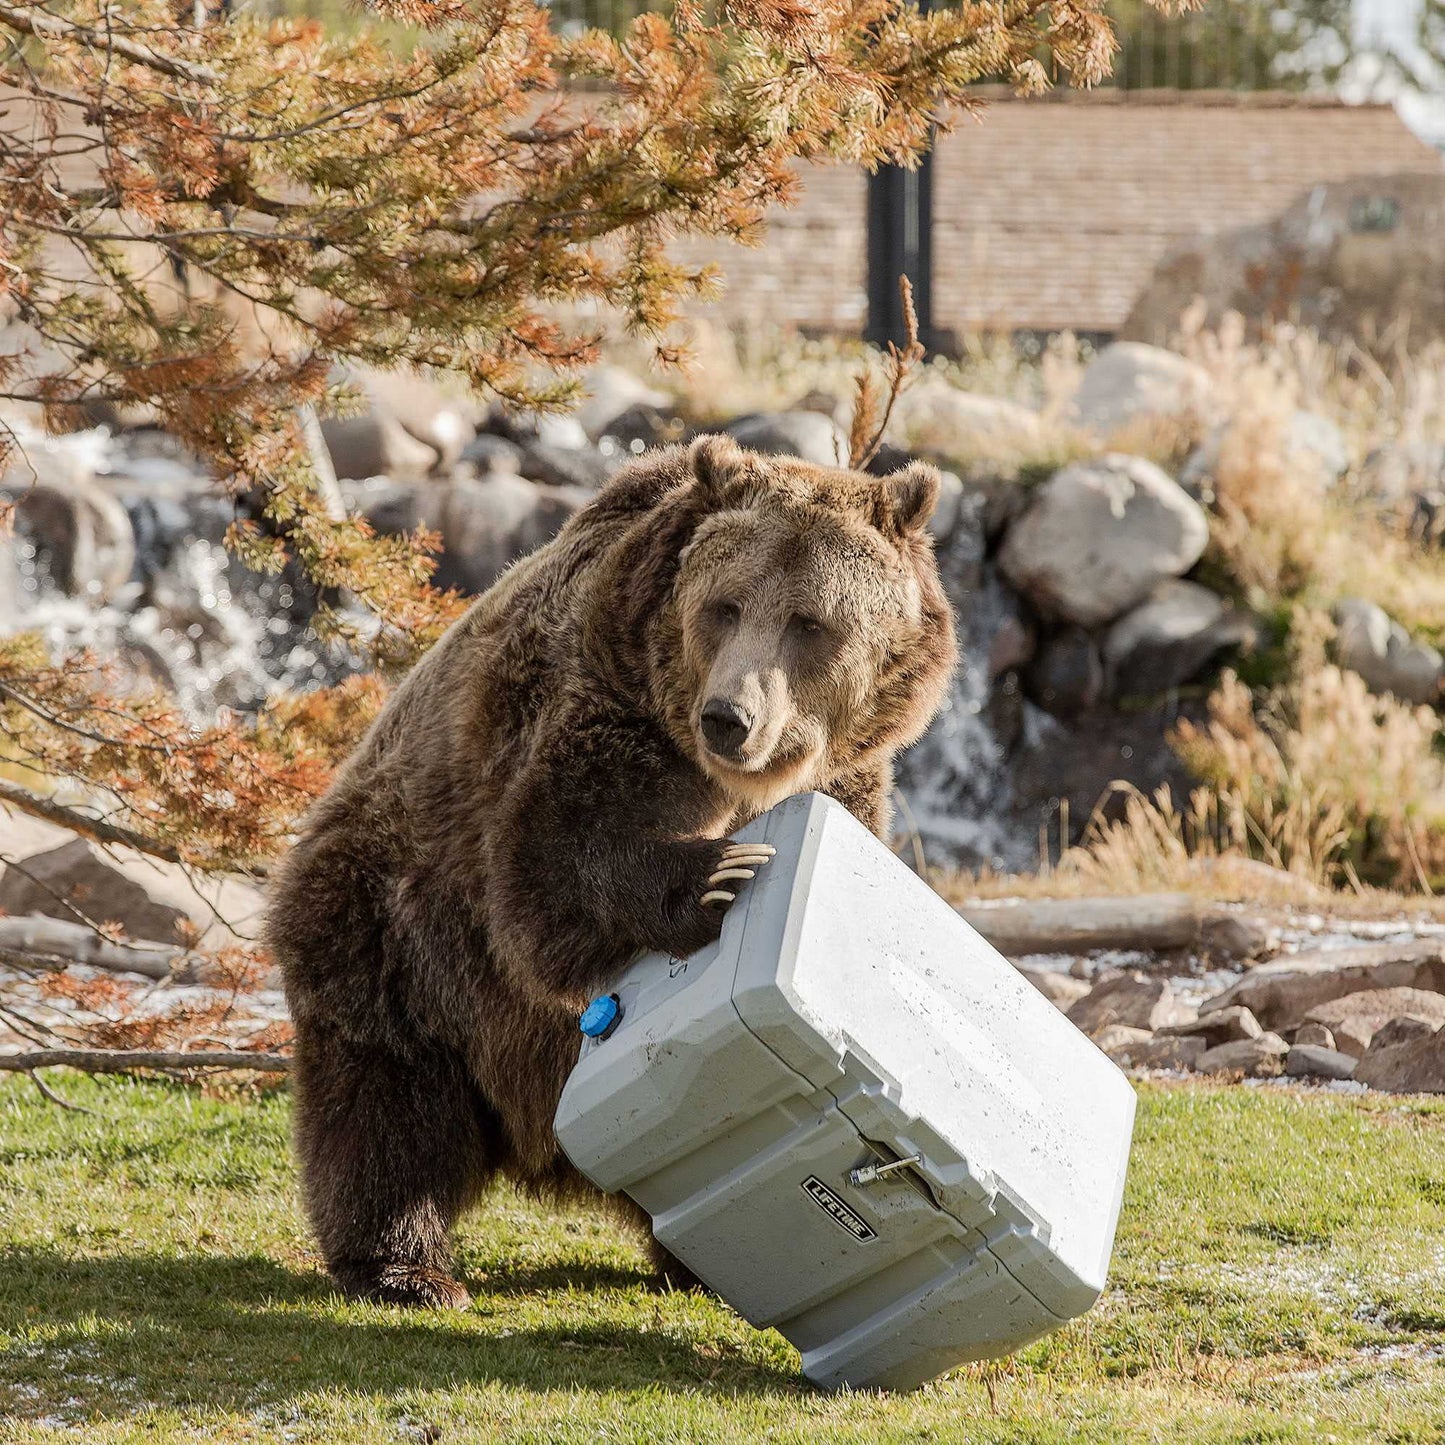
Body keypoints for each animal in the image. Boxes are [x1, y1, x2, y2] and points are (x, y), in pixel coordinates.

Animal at [271, 433, 959, 1306]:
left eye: (810, 622)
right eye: (724, 605)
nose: (729, 717)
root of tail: (536, 1146)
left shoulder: (849, 778)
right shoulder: (588, 708)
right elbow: (555, 871)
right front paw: (718, 875)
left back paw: (694, 1264)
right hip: (395, 929)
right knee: (387, 1105)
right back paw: (404, 1266)